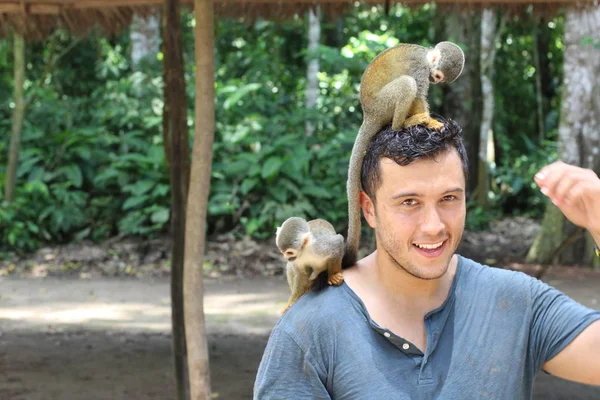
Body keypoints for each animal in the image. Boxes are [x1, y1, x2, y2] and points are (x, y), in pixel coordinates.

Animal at [342, 41, 464, 268]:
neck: (426, 55)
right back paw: (402, 124)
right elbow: (417, 92)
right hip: (383, 105)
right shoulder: (420, 67)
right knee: (407, 84)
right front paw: (429, 121)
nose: (434, 80)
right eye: (438, 76)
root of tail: (369, 114)